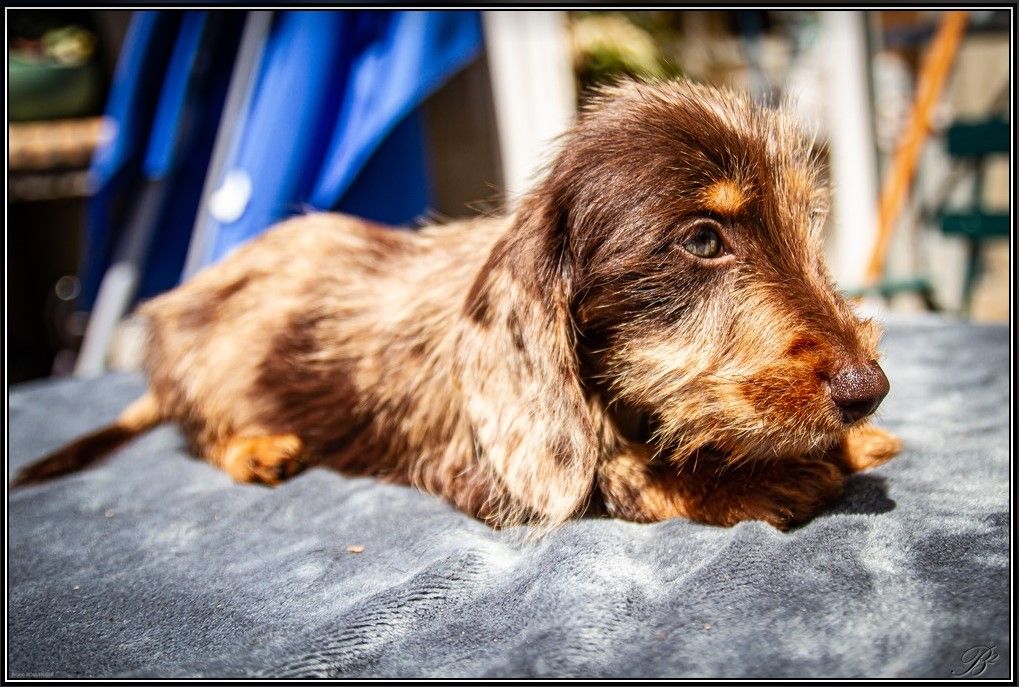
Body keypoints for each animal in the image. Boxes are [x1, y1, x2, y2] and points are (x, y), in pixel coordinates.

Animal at [13, 81, 900, 530]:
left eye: (806, 220)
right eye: (703, 239)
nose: (868, 389)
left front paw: (847, 443)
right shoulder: (475, 466)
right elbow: (614, 473)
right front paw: (757, 480)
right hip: (205, 365)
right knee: (200, 429)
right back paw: (254, 447)